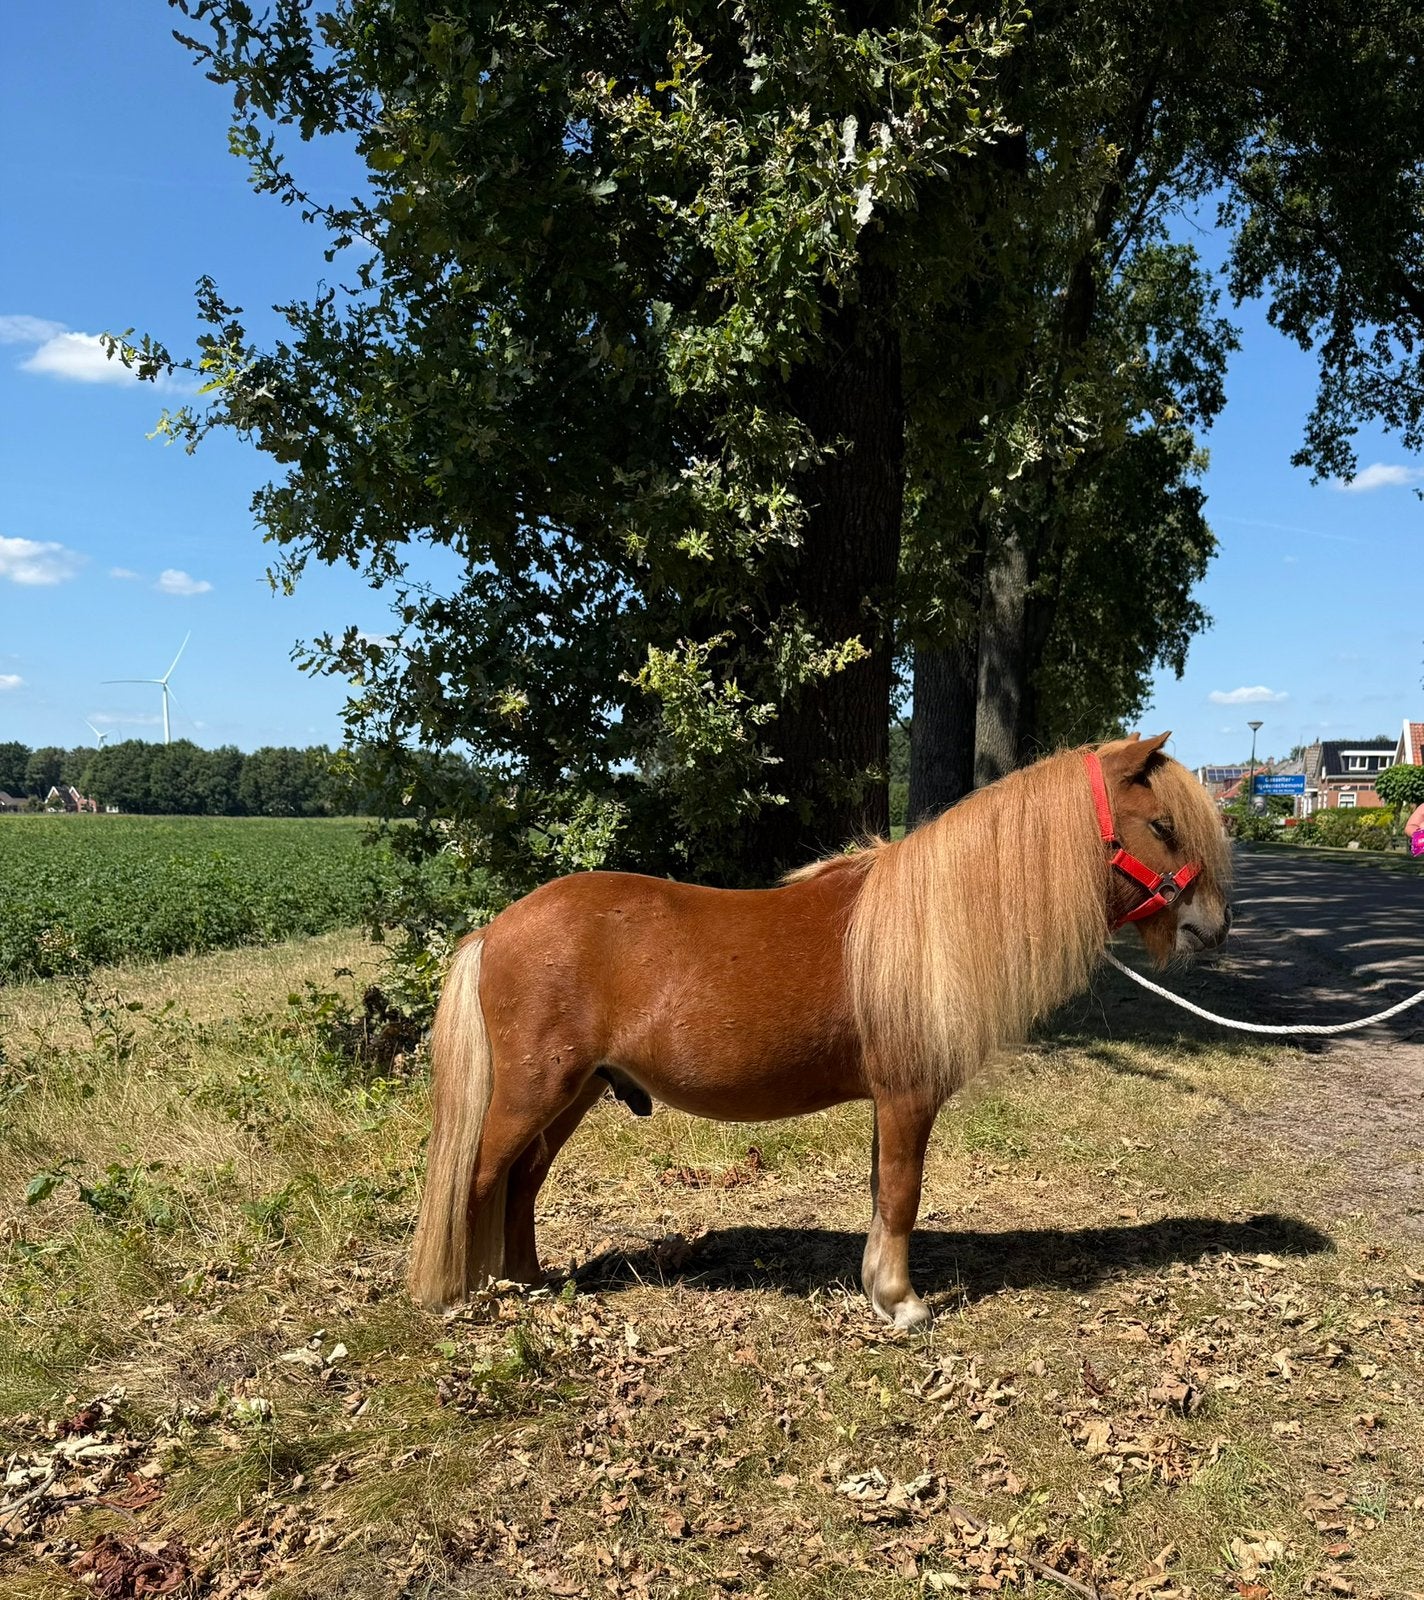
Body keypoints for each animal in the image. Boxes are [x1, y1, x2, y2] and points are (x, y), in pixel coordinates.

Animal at [407, 733, 1232, 1328]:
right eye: (1161, 825)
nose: (1213, 929)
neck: (925, 925)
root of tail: (497, 929)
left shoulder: (888, 1105)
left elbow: (880, 1192)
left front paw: (876, 1287)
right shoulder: (906, 1098)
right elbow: (901, 1192)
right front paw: (902, 1304)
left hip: (574, 1093)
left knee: (523, 1180)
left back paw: (527, 1279)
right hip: (533, 1091)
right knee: (480, 1178)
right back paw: (465, 1296)